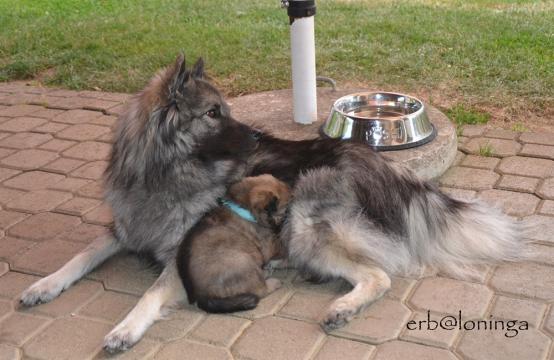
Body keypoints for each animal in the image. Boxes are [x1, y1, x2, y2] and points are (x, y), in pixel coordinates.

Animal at [176, 174, 288, 312]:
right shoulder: (269, 244)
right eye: (285, 212)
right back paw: (272, 282)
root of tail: (202, 296)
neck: (243, 208)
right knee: (260, 290)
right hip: (243, 260)